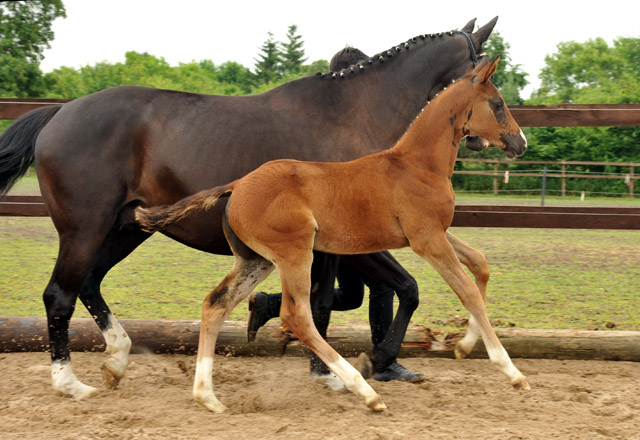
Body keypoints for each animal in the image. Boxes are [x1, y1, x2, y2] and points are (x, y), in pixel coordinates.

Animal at [136, 55, 528, 412]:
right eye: (497, 103)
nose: (520, 143)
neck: (416, 165)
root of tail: (237, 185)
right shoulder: (427, 240)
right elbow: (468, 292)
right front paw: (511, 372)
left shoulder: (435, 233)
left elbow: (480, 264)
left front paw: (463, 346)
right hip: (295, 254)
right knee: (297, 315)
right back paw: (364, 391)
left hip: (257, 260)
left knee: (216, 303)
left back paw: (208, 397)